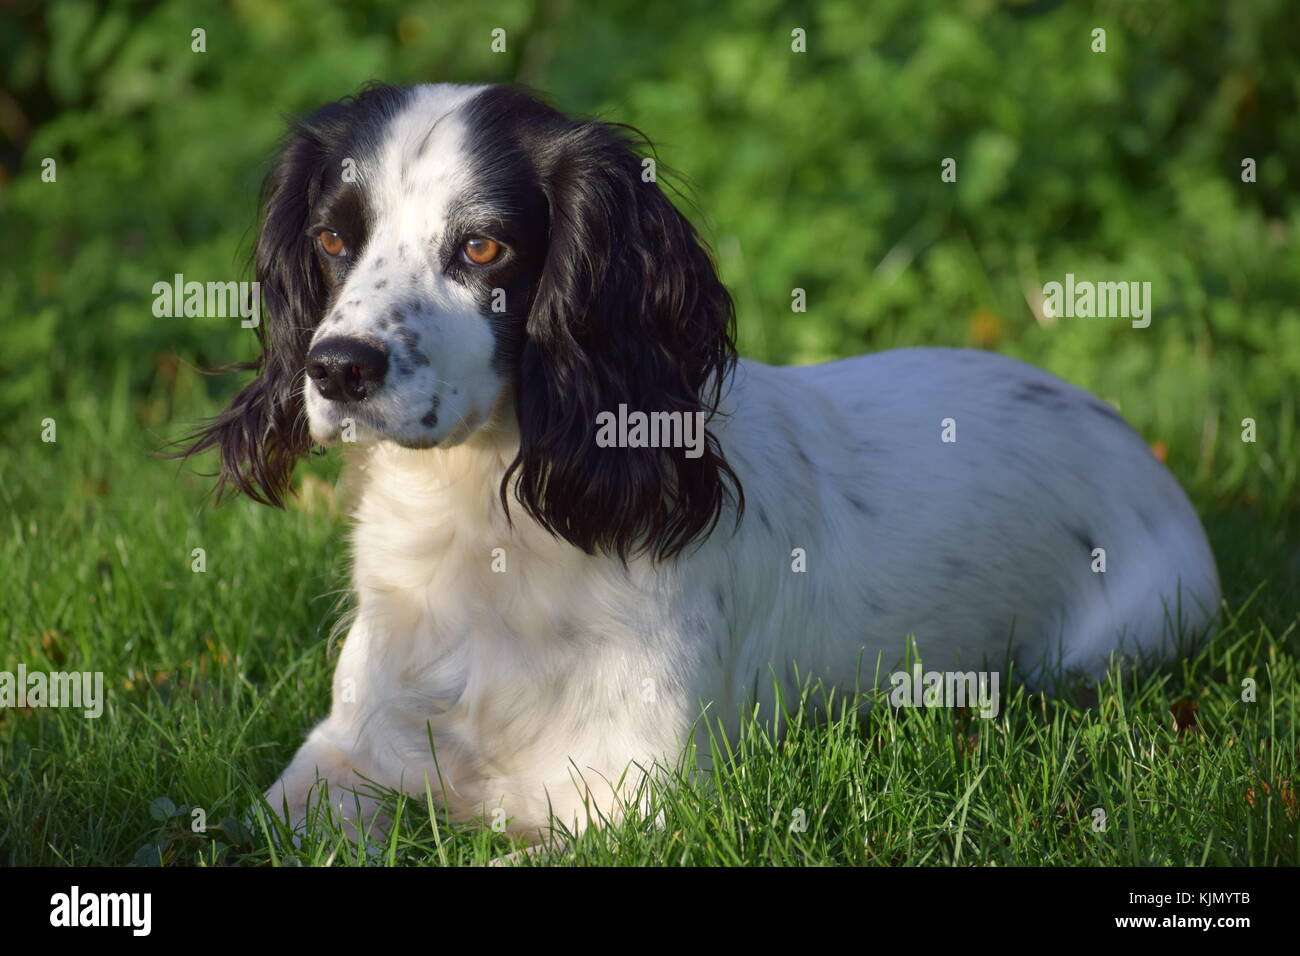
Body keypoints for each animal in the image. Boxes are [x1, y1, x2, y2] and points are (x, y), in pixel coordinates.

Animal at [180, 83, 1216, 837]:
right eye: (330, 237)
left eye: (482, 246)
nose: (337, 368)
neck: (485, 532)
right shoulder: (345, 755)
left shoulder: (633, 806)